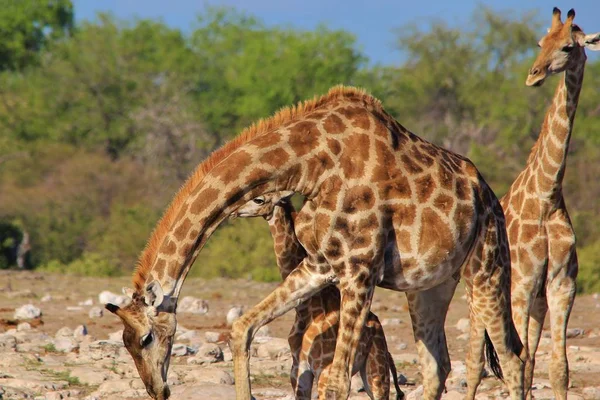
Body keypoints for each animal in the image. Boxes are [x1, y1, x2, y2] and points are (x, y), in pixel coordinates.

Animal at [233, 192, 404, 398]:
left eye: (259, 199)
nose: (234, 210)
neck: (307, 309)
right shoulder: (298, 369)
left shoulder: (324, 370)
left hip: (377, 372)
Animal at [462, 7, 596, 400]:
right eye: (539, 42)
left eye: (568, 46)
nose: (533, 75)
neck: (547, 196)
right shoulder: (520, 286)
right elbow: (514, 365)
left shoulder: (561, 284)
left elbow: (557, 369)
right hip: (480, 297)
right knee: (475, 364)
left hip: (534, 303)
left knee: (527, 359)